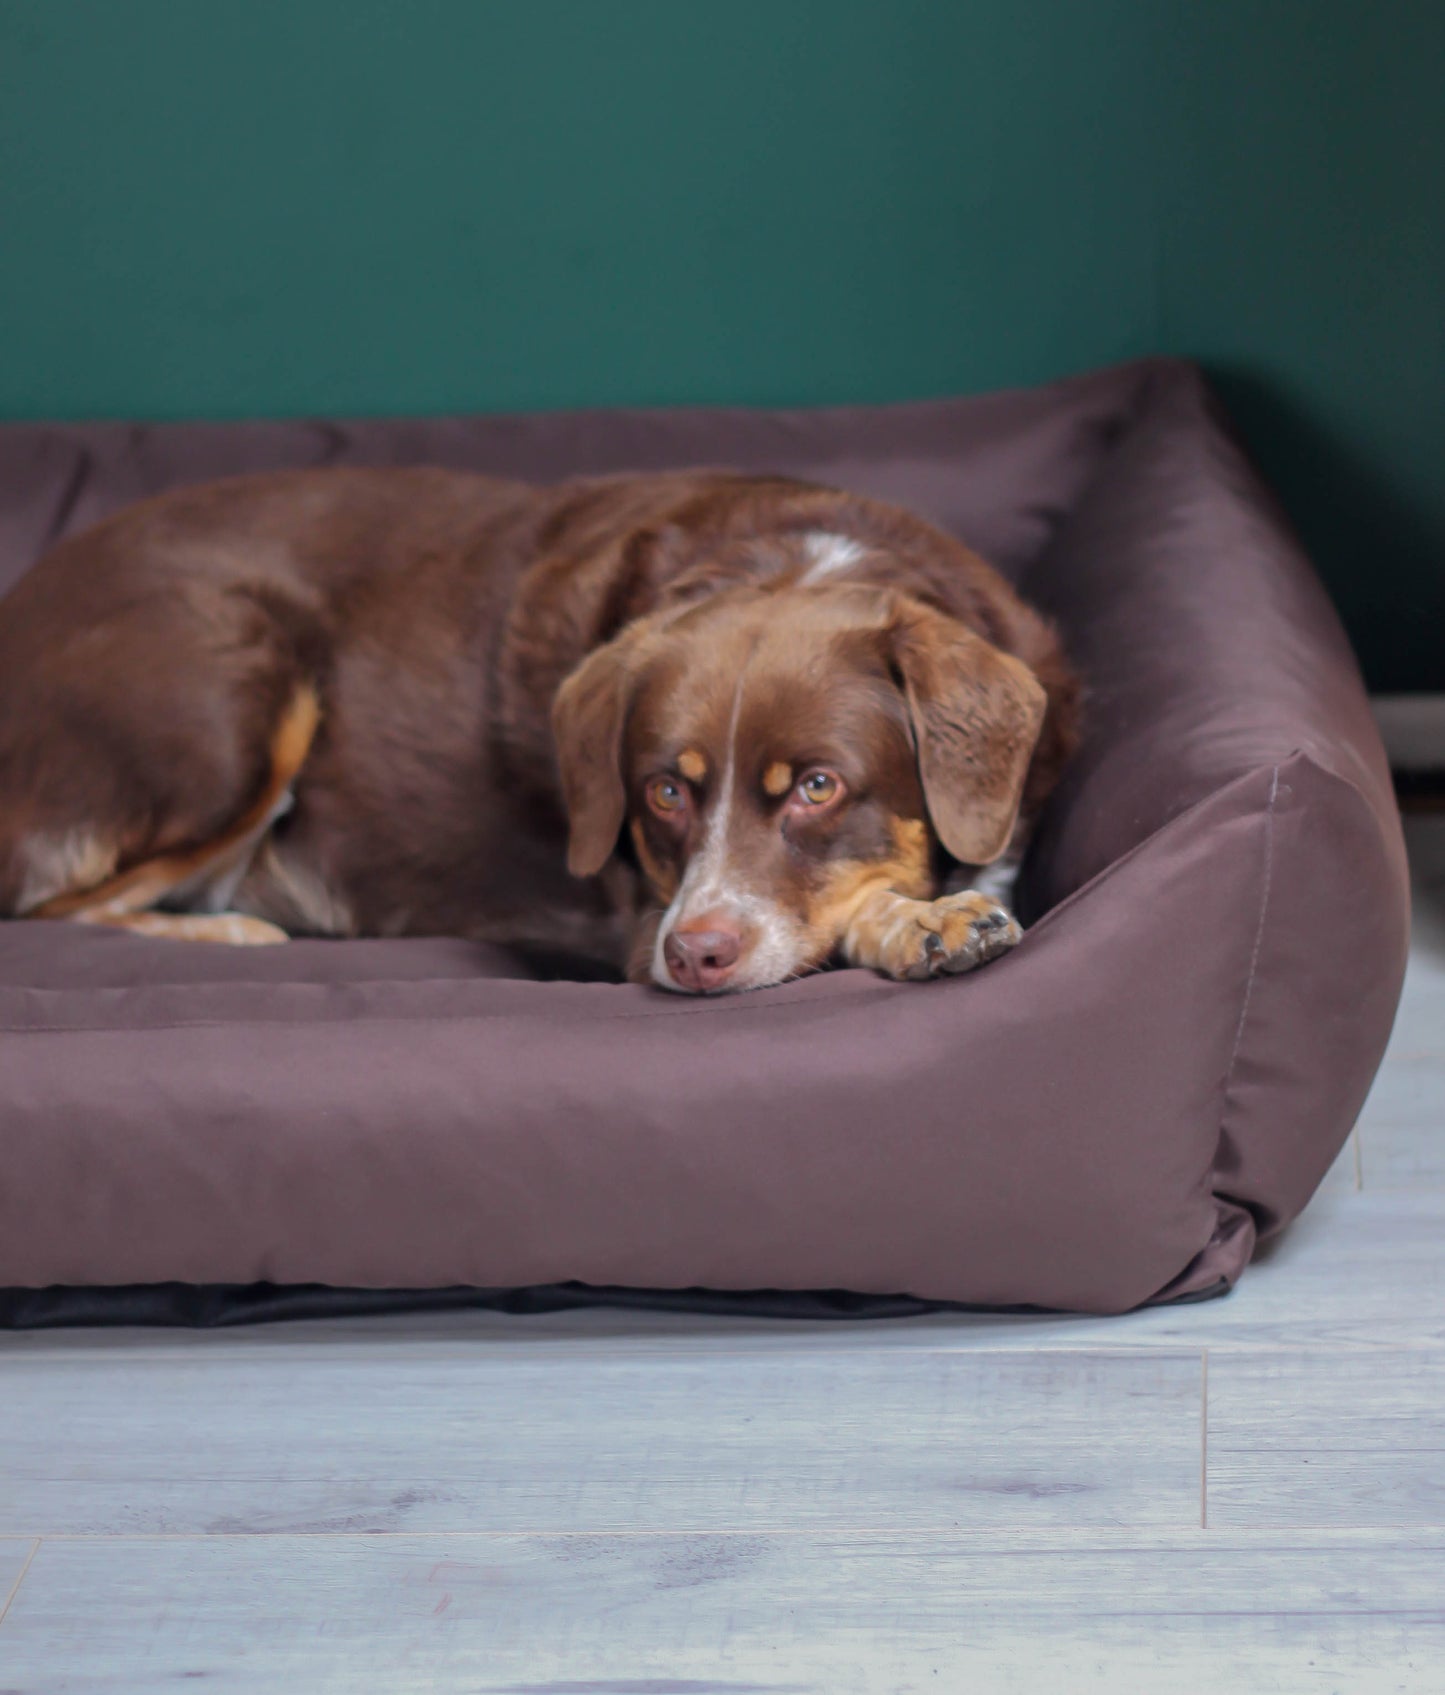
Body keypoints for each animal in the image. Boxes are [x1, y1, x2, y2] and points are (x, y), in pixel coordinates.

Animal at [0, 464, 1077, 989]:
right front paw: (921, 922)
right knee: (46, 911)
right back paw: (228, 929)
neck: (799, 558)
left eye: (817, 786)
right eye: (663, 790)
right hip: (235, 694)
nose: (693, 957)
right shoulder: (641, 918)